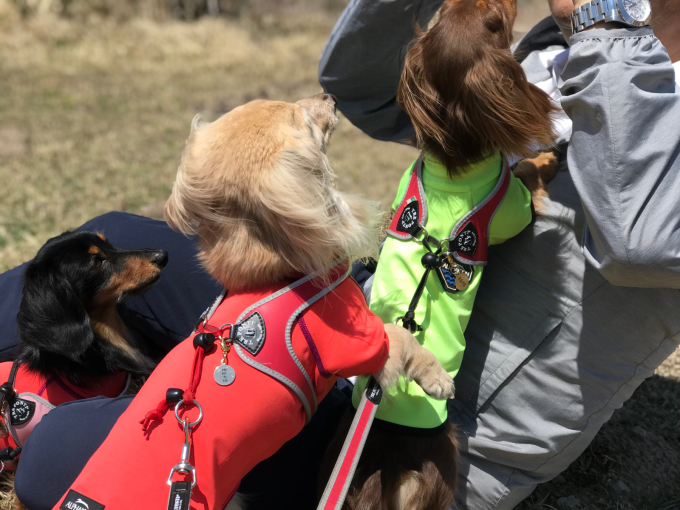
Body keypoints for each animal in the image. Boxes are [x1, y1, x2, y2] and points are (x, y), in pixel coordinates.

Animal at [50, 92, 454, 510]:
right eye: (301, 115)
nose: (328, 95)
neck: (276, 275)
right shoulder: (361, 343)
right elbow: (402, 339)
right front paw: (438, 380)